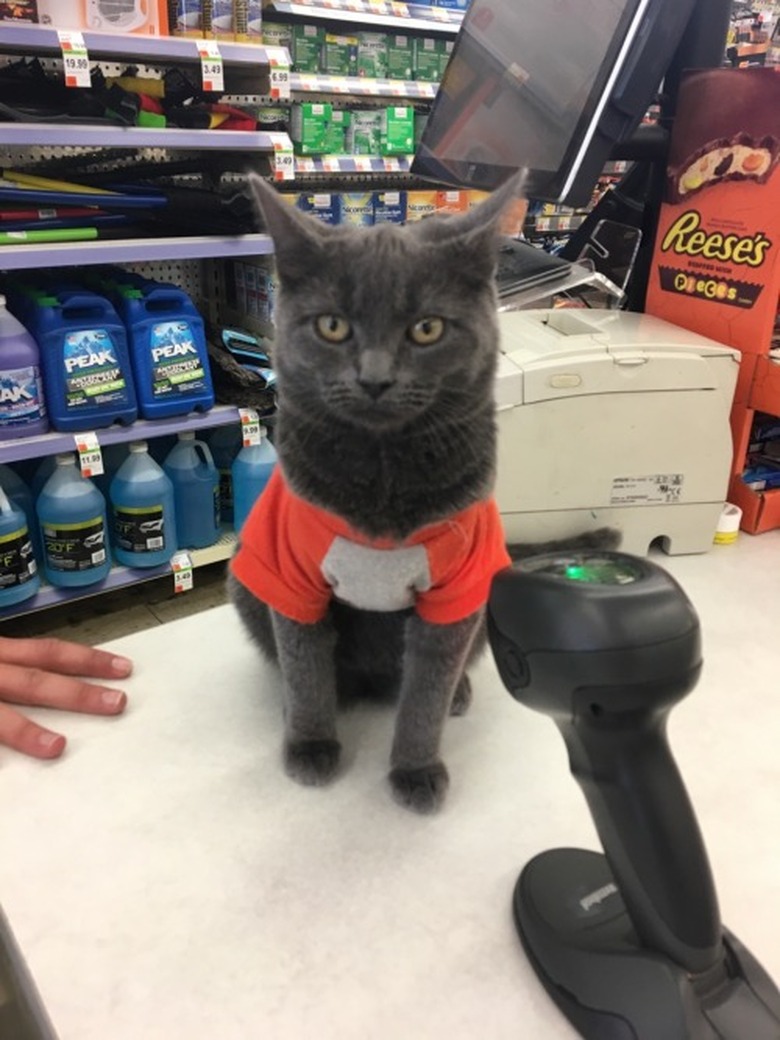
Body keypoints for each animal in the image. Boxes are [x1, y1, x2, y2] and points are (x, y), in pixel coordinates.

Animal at [228, 174, 607, 815]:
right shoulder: (292, 576)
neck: (383, 479)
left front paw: (416, 770)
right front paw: (311, 745)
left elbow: (426, 692)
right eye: (332, 326)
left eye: (427, 328)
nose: (375, 378)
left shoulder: (455, 591)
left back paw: (459, 694)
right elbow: (305, 669)